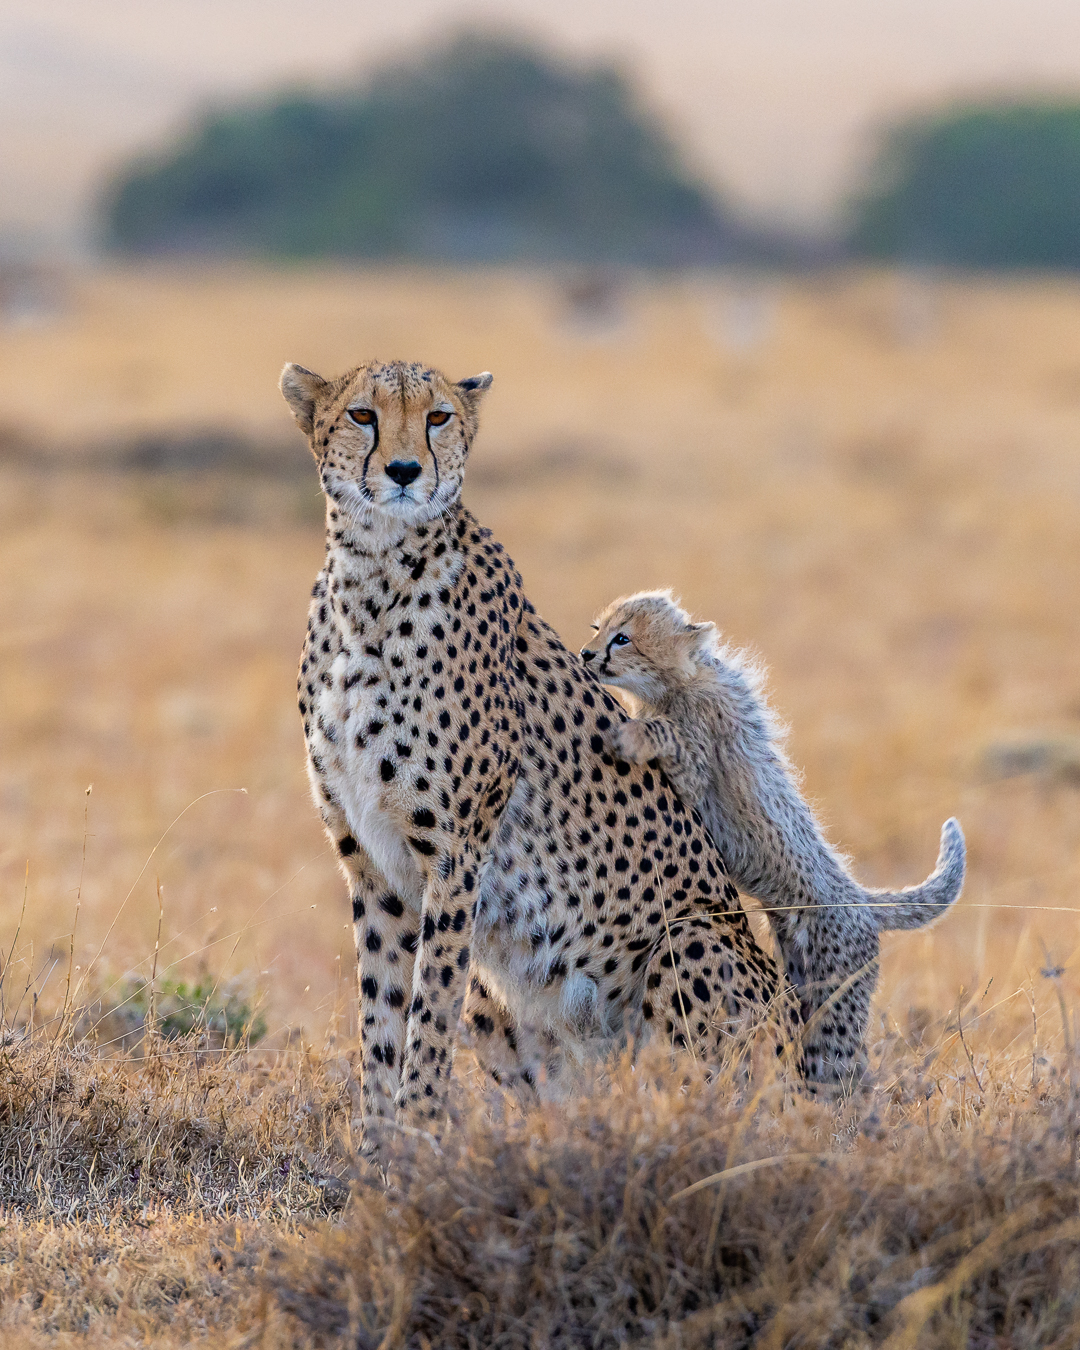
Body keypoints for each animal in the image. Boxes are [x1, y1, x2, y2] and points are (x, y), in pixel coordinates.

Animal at [279, 358, 802, 1143]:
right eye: (362, 415)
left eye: (437, 417)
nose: (404, 471)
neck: (371, 575)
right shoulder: (370, 861)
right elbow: (382, 1019)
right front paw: (376, 1148)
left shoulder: (456, 854)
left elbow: (427, 1014)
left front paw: (419, 1135)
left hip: (692, 939)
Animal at [581, 589, 965, 1090]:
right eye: (598, 630)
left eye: (623, 638)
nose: (586, 654)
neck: (681, 680)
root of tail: (859, 898)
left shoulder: (695, 776)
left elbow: (669, 738)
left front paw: (632, 735)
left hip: (835, 995)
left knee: (843, 1072)